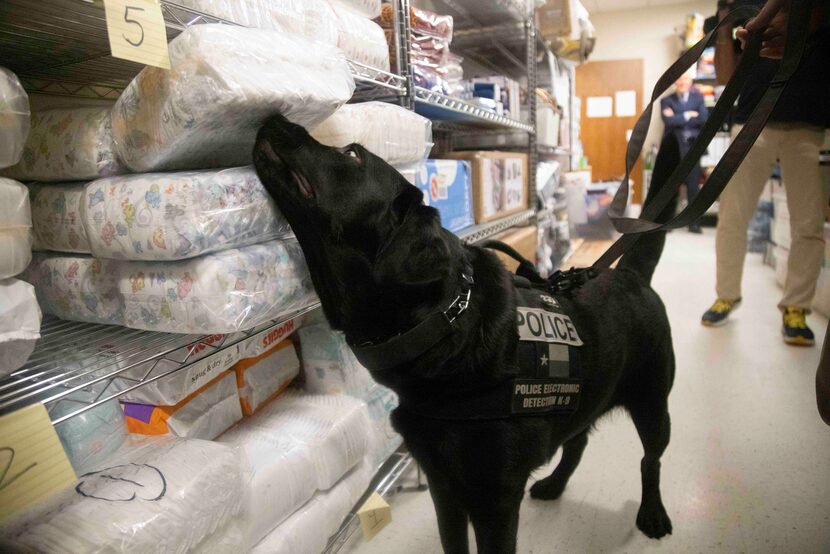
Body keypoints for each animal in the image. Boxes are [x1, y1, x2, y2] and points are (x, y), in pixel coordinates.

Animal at [256, 113, 680, 552]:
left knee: (650, 460)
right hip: (583, 400)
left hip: (653, 404)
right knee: (577, 441)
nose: (275, 117)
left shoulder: (495, 501)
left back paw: (652, 513)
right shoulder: (442, 487)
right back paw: (555, 485)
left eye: (352, 154)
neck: (445, 324)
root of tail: (630, 274)